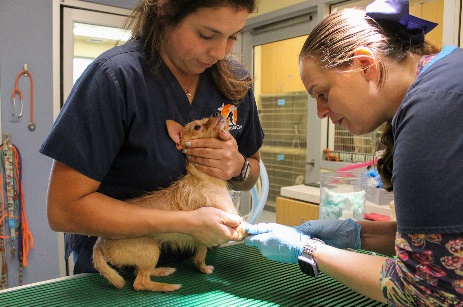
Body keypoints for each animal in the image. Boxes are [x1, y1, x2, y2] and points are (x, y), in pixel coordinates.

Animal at [92, 115, 248, 294]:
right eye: (197, 127)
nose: (218, 115)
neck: (205, 178)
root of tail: (101, 242)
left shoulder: (202, 241)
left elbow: (200, 257)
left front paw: (203, 268)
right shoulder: (231, 220)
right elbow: (248, 229)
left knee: (138, 272)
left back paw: (162, 271)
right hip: (151, 250)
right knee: (140, 282)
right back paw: (168, 286)